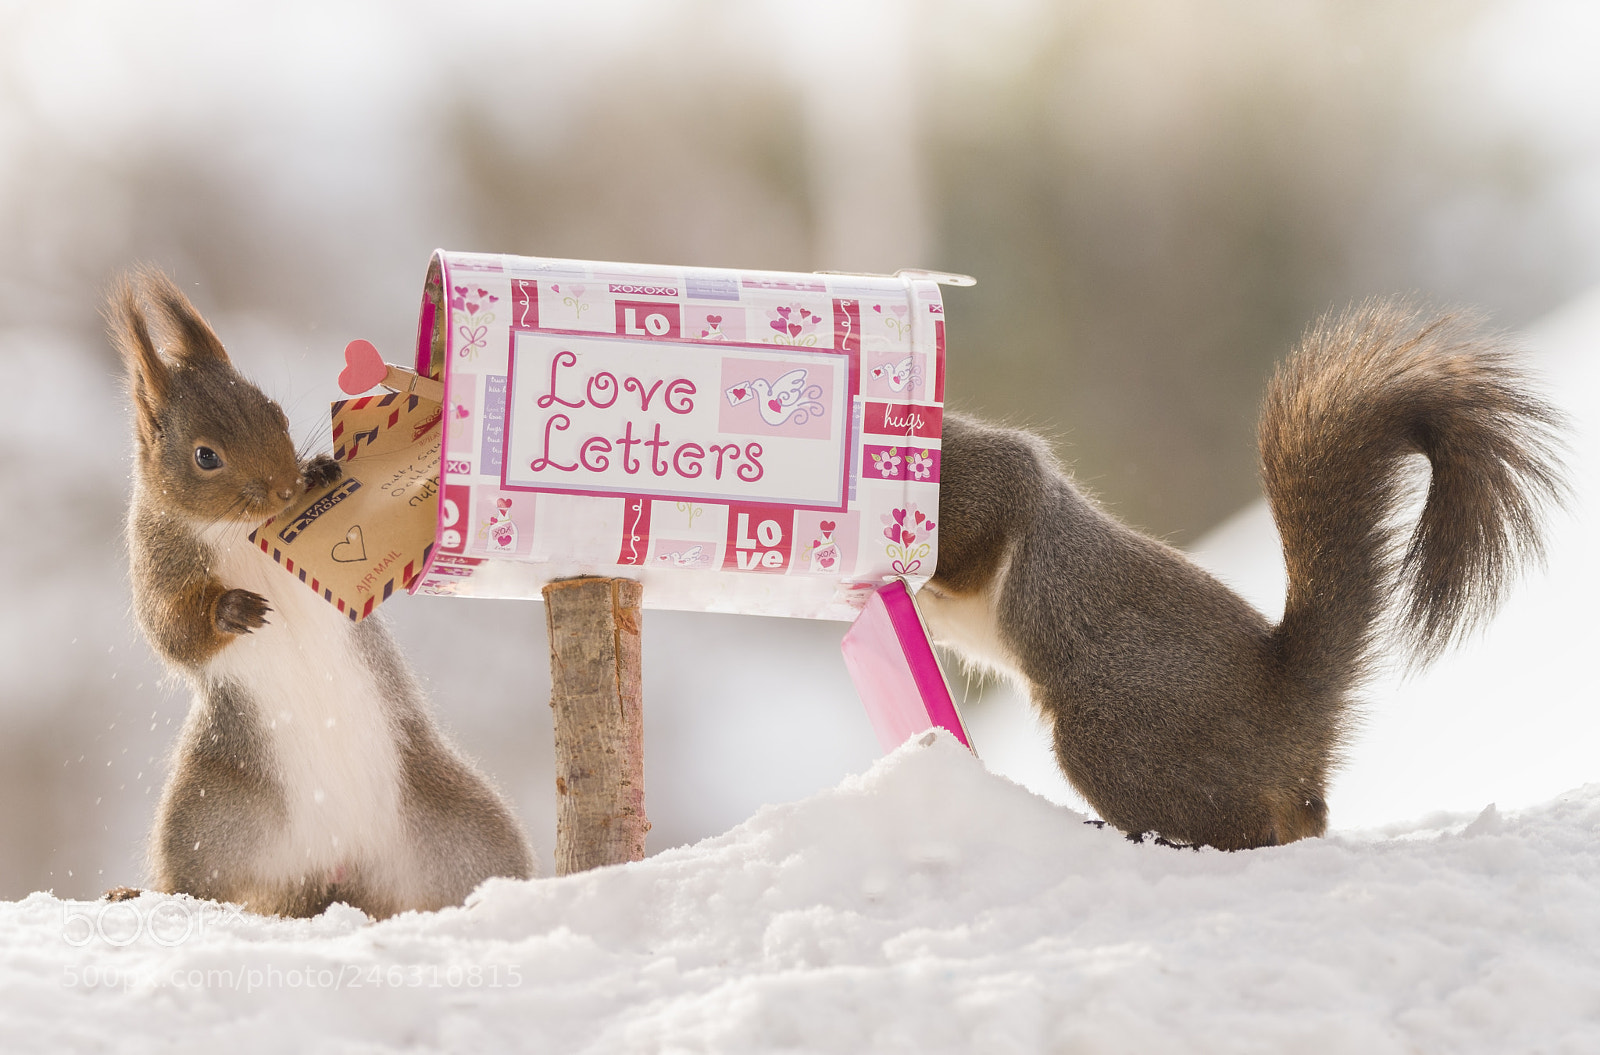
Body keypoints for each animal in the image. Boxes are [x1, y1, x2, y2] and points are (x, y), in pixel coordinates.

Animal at [109, 267, 534, 918]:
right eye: (205, 456)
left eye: (277, 413)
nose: (287, 488)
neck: (234, 529)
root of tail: (335, 868)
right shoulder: (155, 560)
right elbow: (171, 631)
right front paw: (231, 609)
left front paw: (322, 471)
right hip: (209, 820)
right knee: (195, 884)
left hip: (462, 828)